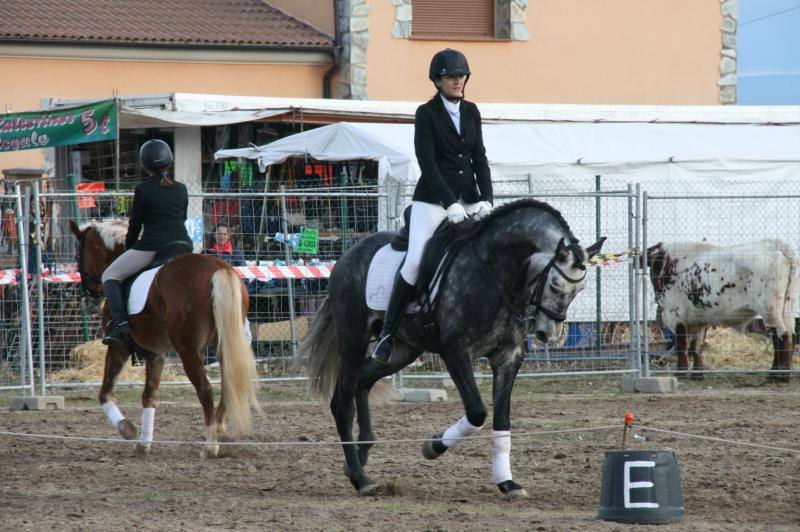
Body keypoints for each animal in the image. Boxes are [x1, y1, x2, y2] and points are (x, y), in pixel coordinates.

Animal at [68, 220, 260, 458]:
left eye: (78, 255)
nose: (88, 301)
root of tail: (218, 268)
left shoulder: (118, 348)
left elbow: (105, 393)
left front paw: (127, 429)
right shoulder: (155, 353)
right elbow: (149, 395)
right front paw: (144, 443)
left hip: (189, 351)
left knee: (205, 389)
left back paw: (210, 445)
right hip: (225, 344)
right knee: (228, 384)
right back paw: (218, 430)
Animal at [648, 239, 796, 380]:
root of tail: (774, 243)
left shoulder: (675, 313)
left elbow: (681, 345)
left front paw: (681, 373)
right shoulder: (698, 318)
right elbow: (696, 346)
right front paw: (697, 374)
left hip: (769, 310)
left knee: (781, 337)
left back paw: (777, 376)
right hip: (786, 308)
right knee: (789, 337)